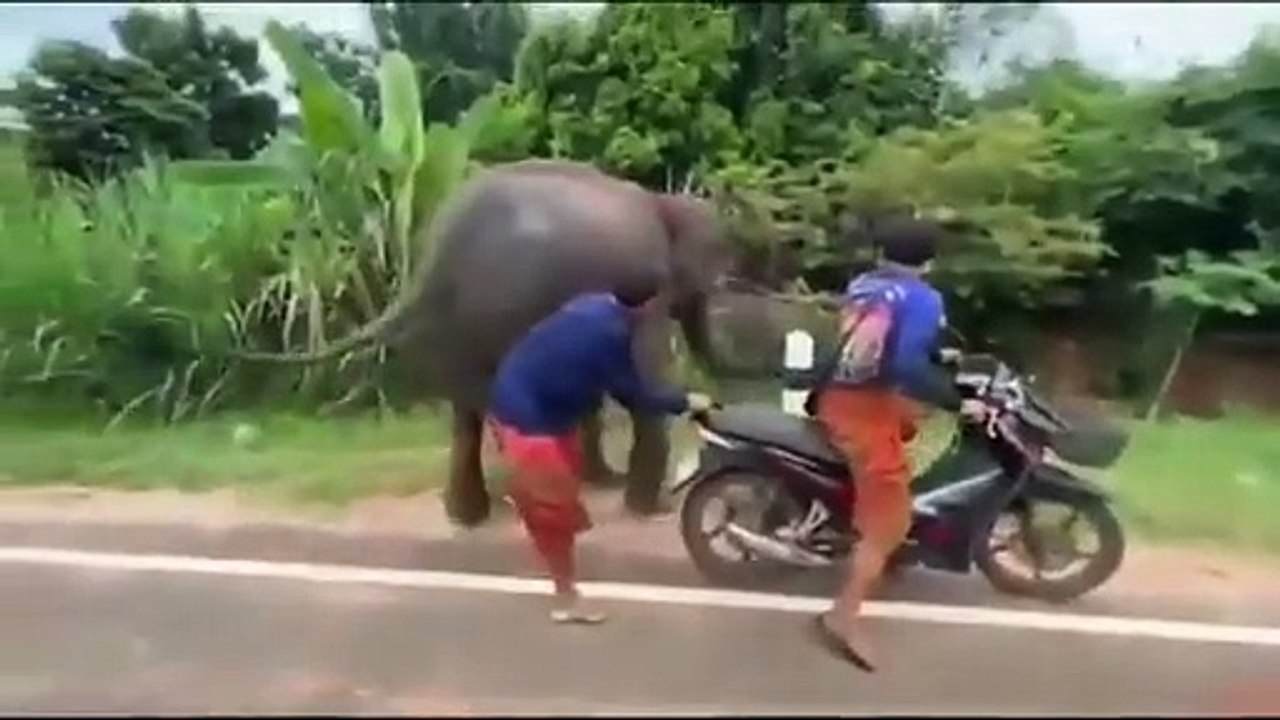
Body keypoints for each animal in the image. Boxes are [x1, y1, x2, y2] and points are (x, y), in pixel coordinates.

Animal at [238, 159, 730, 527]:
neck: (663, 202)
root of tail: (434, 263)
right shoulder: (645, 289)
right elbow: (639, 375)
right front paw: (652, 507)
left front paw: (605, 481)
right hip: (505, 312)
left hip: (455, 330)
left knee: (467, 413)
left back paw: (467, 515)